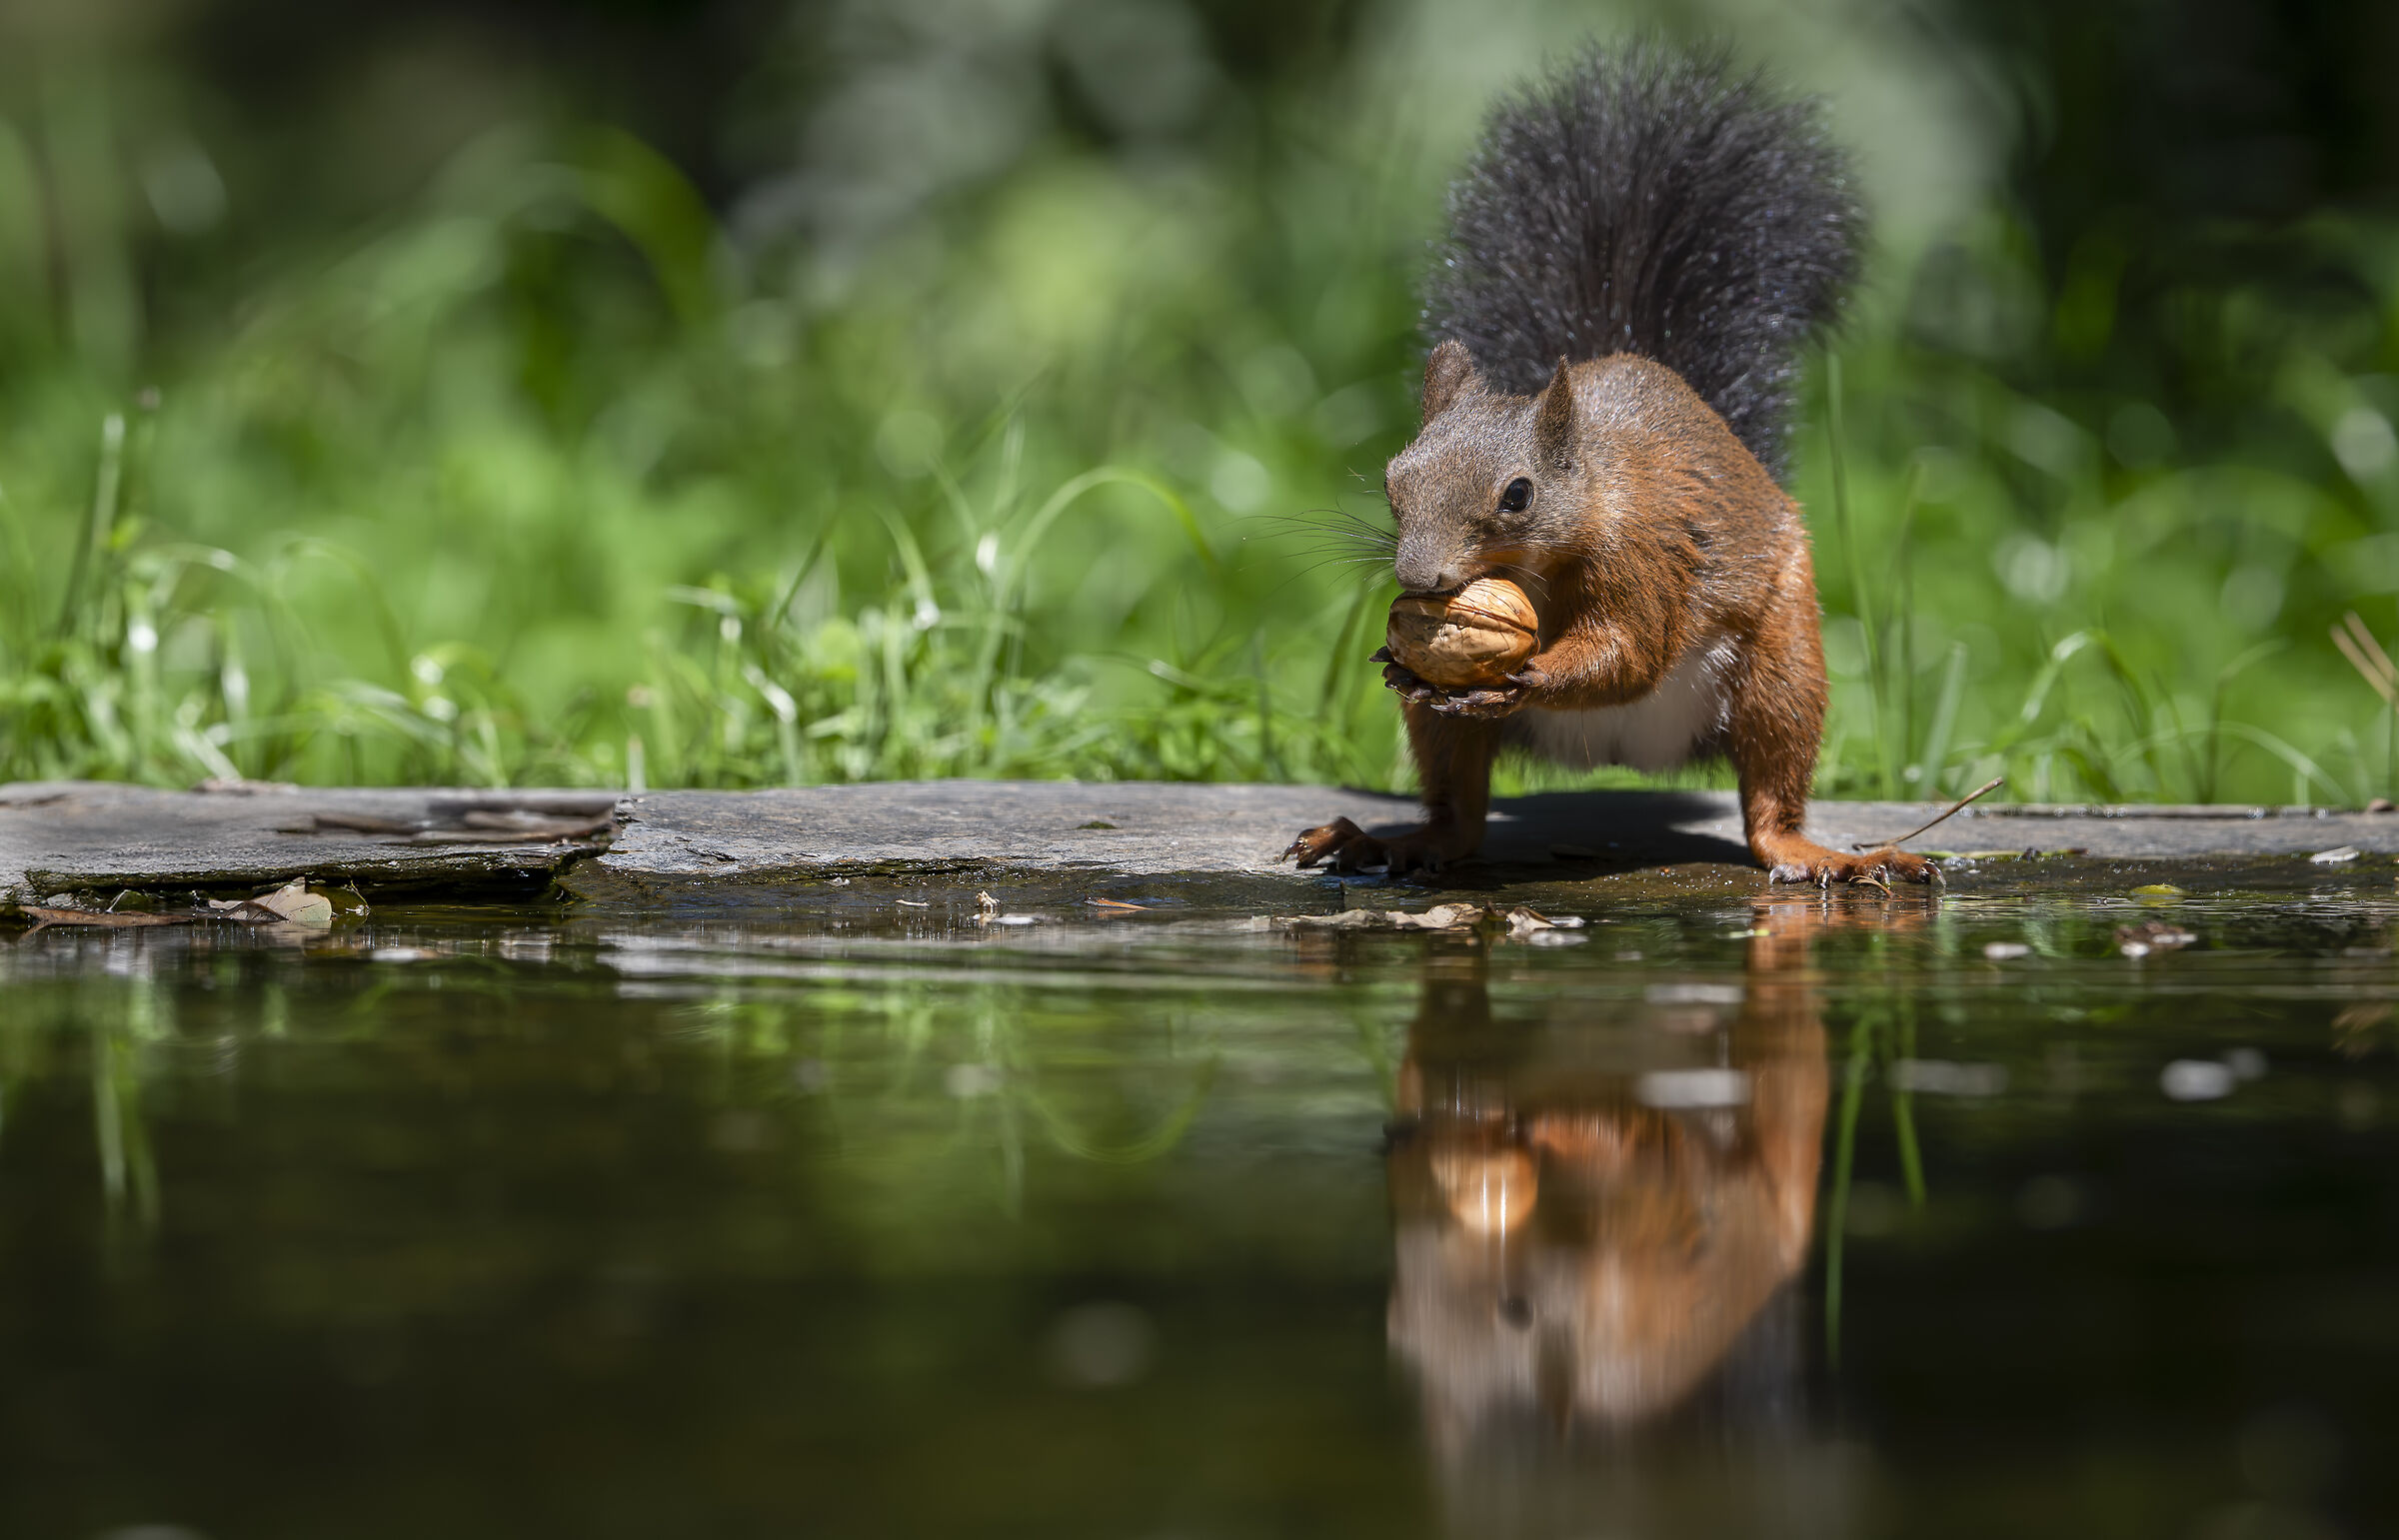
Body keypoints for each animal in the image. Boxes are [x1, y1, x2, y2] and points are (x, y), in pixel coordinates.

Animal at [1285, 41, 1933, 888]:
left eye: (1518, 494)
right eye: (1395, 482)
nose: (1420, 579)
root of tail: (1629, 752)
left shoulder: (1644, 554)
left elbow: (1628, 652)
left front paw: (1526, 676)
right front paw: (1400, 663)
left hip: (1785, 662)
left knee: (1771, 797)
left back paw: (1822, 854)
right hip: (1447, 737)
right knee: (1459, 811)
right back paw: (1392, 839)